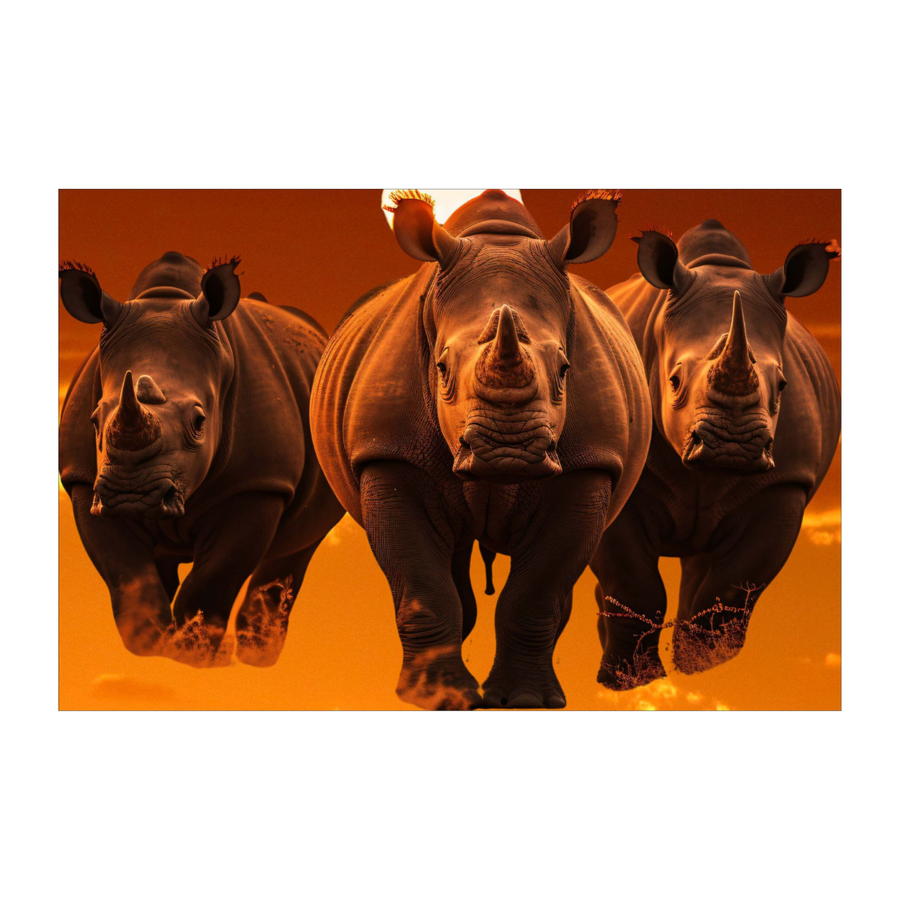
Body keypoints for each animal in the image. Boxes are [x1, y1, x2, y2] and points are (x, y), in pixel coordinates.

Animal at [59, 252, 344, 667]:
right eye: (94, 419)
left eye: (199, 422)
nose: (131, 497)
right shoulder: (83, 481)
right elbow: (129, 579)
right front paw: (152, 653)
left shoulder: (258, 484)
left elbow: (211, 584)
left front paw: (193, 659)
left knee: (292, 553)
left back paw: (257, 660)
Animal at [311, 190, 651, 709]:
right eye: (441, 368)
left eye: (565, 369)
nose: (508, 452)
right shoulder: (389, 453)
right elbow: (424, 586)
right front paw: (438, 698)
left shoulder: (590, 465)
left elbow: (537, 594)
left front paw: (527, 701)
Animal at [591, 221, 840, 688]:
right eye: (673, 381)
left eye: (783, 385)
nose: (733, 446)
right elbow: (633, 584)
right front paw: (630, 682)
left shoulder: (784, 484)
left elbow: (727, 595)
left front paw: (703, 670)